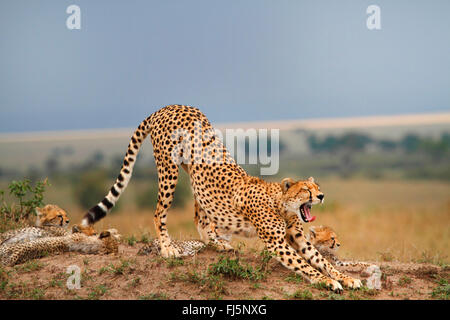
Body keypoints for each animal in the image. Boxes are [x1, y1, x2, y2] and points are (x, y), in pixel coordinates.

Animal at [81, 105, 362, 292]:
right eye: (306, 190)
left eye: (317, 186)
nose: (322, 196)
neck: (281, 204)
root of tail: (169, 106)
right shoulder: (276, 243)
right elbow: (306, 266)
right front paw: (328, 281)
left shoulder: (298, 238)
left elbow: (321, 260)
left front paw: (346, 277)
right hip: (169, 168)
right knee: (159, 211)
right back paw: (168, 248)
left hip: (193, 173)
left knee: (200, 212)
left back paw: (215, 242)